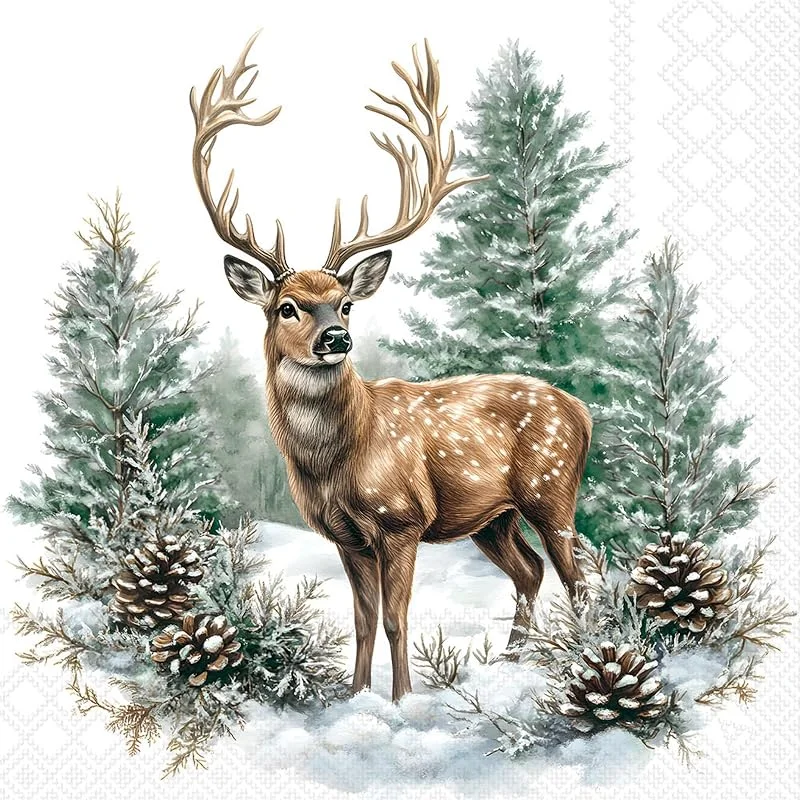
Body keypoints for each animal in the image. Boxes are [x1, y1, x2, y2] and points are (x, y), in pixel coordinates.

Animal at [190, 33, 592, 702]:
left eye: (346, 301)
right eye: (286, 306)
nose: (336, 338)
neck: (339, 460)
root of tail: (583, 412)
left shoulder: (402, 520)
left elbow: (398, 617)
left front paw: (403, 699)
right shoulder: (346, 534)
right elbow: (362, 619)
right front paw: (355, 696)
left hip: (551, 487)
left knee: (578, 574)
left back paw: (583, 663)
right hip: (493, 516)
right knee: (532, 571)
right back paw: (513, 660)